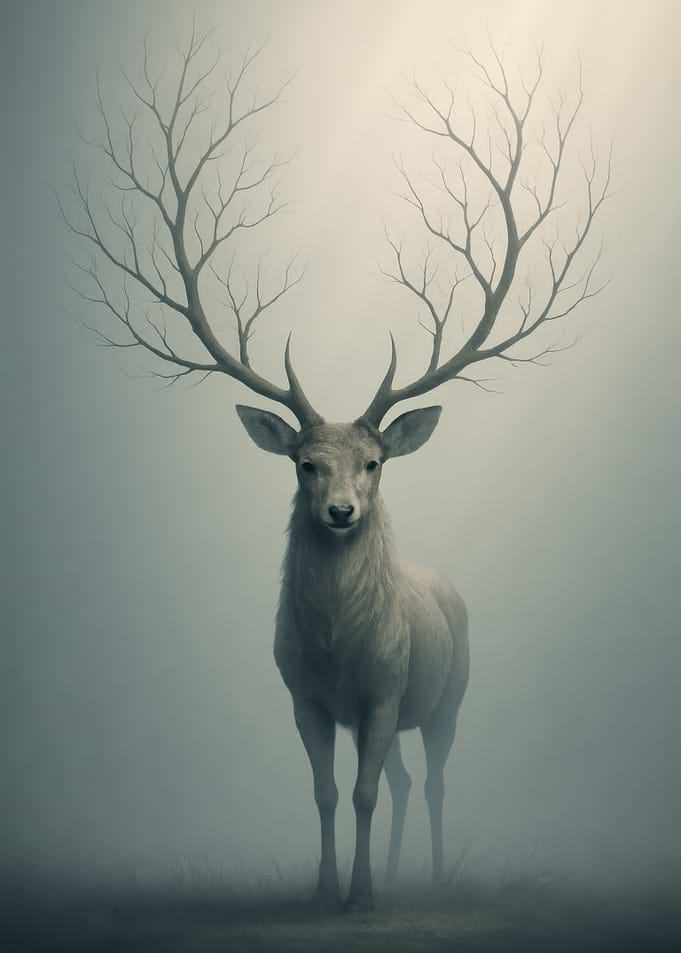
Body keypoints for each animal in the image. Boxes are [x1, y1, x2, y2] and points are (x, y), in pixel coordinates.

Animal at [60, 24, 613, 913]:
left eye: (375, 461)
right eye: (304, 463)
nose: (342, 512)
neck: (336, 648)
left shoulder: (383, 691)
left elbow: (359, 792)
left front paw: (361, 896)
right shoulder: (305, 695)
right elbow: (326, 792)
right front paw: (327, 889)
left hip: (451, 696)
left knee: (431, 782)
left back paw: (425, 877)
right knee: (399, 783)